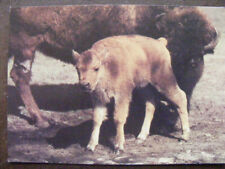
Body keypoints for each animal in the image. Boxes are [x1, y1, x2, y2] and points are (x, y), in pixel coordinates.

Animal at [9, 4, 217, 128]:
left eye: (195, 61)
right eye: (169, 57)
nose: (175, 103)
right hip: (26, 44)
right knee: (20, 75)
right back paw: (42, 121)